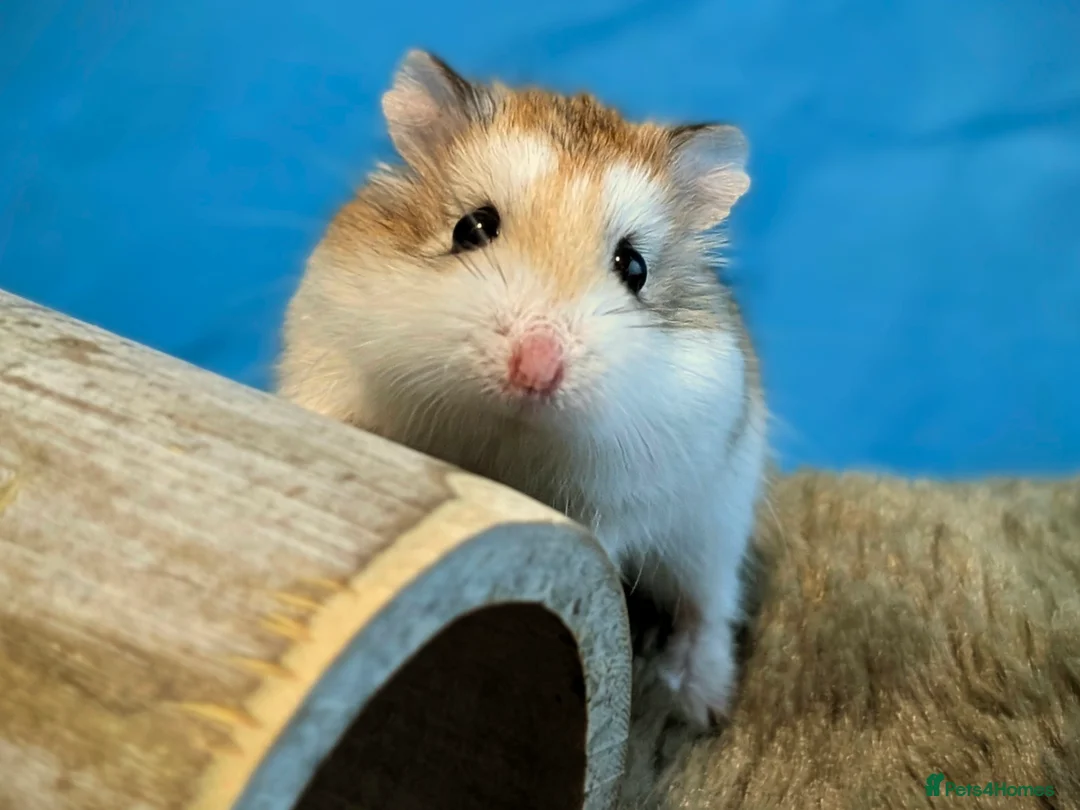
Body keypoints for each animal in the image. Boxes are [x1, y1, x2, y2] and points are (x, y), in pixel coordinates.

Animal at [276, 49, 769, 728]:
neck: (506, 428)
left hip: (714, 529)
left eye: (634, 267)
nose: (536, 368)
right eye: (471, 227)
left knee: (706, 610)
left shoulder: (623, 498)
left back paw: (701, 704)